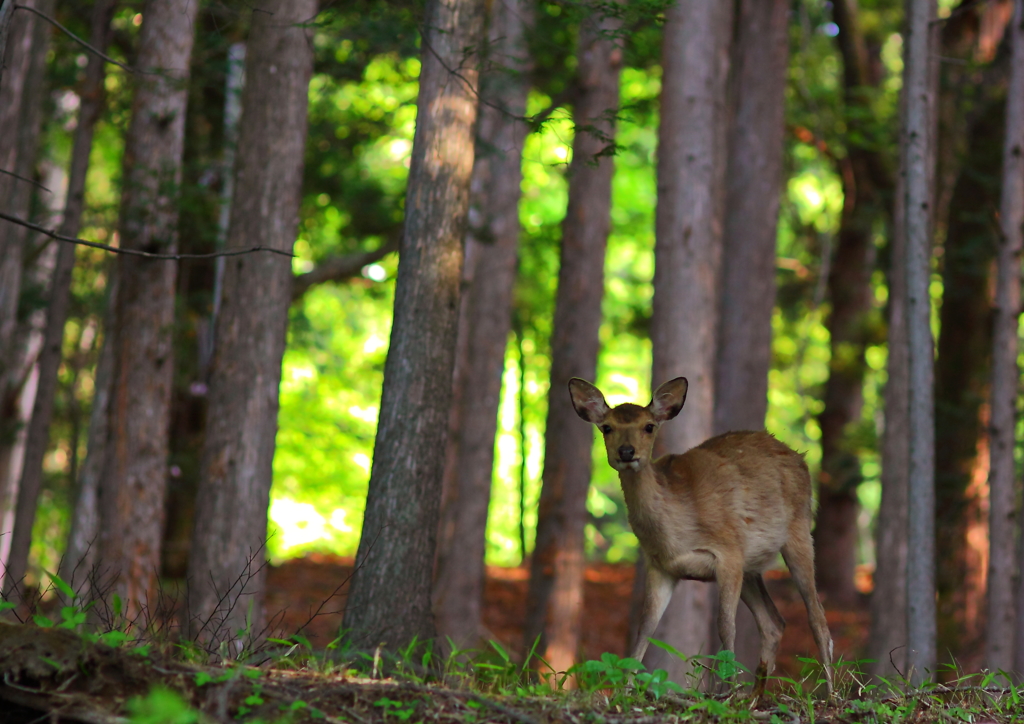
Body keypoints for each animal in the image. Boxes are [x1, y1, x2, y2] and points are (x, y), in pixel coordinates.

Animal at [569, 376, 831, 704]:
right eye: (607, 427)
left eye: (648, 426)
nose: (627, 452)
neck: (675, 531)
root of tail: (800, 457)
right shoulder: (660, 565)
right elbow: (646, 626)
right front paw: (624, 689)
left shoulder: (728, 552)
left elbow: (725, 626)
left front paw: (728, 690)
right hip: (751, 568)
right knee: (774, 622)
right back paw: (756, 696)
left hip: (798, 530)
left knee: (817, 617)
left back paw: (832, 694)